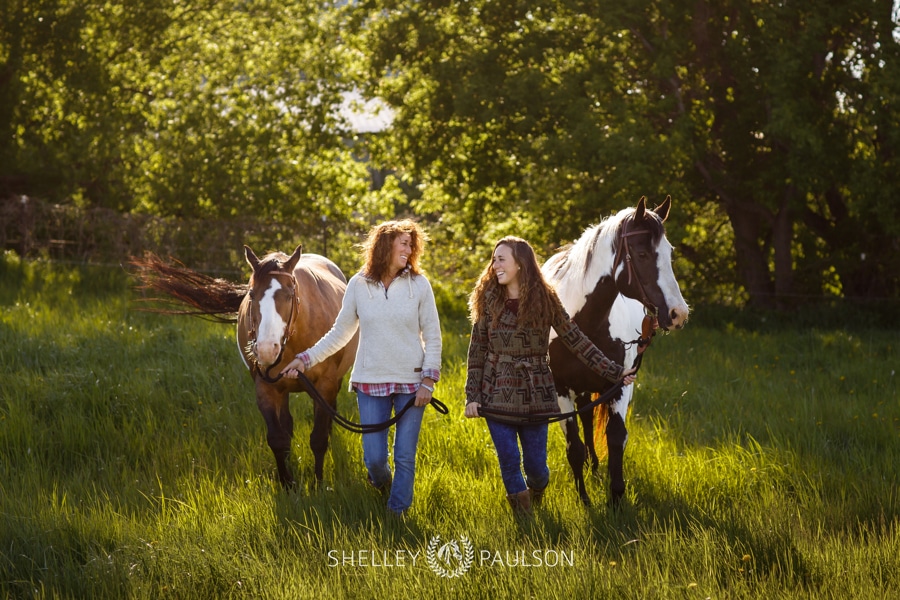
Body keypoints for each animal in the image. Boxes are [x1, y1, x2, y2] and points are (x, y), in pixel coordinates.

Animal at [132, 244, 356, 488]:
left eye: (289, 295)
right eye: (251, 294)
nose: (266, 349)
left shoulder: (324, 386)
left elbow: (318, 438)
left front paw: (318, 484)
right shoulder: (265, 388)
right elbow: (277, 438)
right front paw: (287, 484)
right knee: (287, 425)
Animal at [540, 197, 688, 506]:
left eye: (669, 253)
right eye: (642, 254)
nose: (678, 314)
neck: (585, 322)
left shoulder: (620, 385)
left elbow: (617, 437)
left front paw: (616, 496)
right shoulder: (560, 389)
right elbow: (573, 445)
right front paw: (584, 498)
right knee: (584, 423)